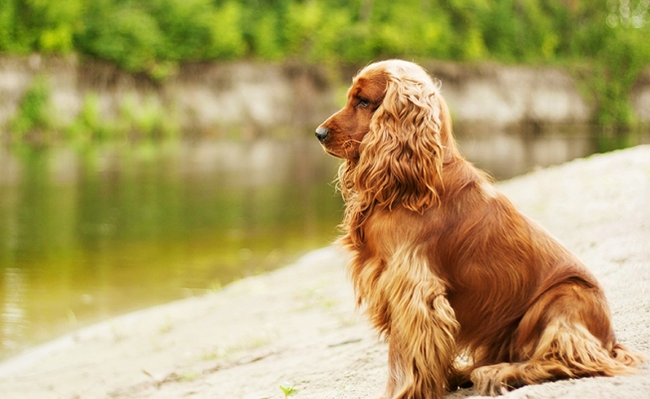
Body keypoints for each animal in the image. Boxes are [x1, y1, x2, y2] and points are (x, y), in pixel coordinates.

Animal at [312, 60, 636, 399]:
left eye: (363, 101)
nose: (319, 133)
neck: (413, 182)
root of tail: (610, 339)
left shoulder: (413, 288)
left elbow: (403, 356)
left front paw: (403, 392)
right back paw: (468, 371)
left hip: (561, 300)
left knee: (564, 359)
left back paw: (497, 372)